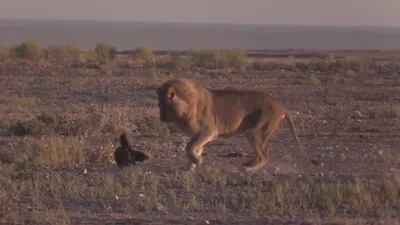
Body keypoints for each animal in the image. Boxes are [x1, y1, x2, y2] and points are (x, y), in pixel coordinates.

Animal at [156, 78, 318, 173]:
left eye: (165, 104)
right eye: (159, 105)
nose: (161, 118)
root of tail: (281, 104)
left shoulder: (208, 131)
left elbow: (189, 147)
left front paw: (197, 161)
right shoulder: (199, 134)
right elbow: (196, 148)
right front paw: (191, 166)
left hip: (255, 131)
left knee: (264, 155)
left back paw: (248, 170)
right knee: (263, 151)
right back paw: (247, 163)